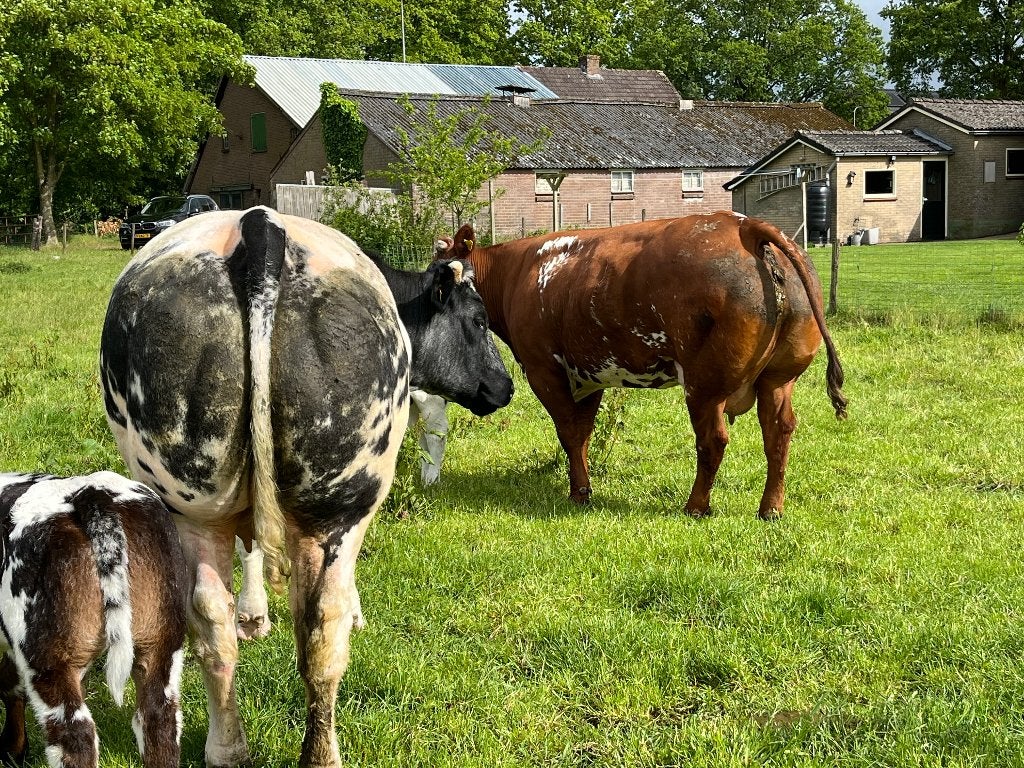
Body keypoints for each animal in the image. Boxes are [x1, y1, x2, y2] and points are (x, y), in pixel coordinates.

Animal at [436, 211, 847, 519]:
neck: (515, 273)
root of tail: (743, 227)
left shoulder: (543, 369)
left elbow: (568, 432)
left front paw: (580, 492)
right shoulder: (589, 375)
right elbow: (582, 434)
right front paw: (581, 486)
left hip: (705, 383)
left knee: (713, 439)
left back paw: (696, 506)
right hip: (778, 378)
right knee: (778, 432)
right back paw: (770, 508)